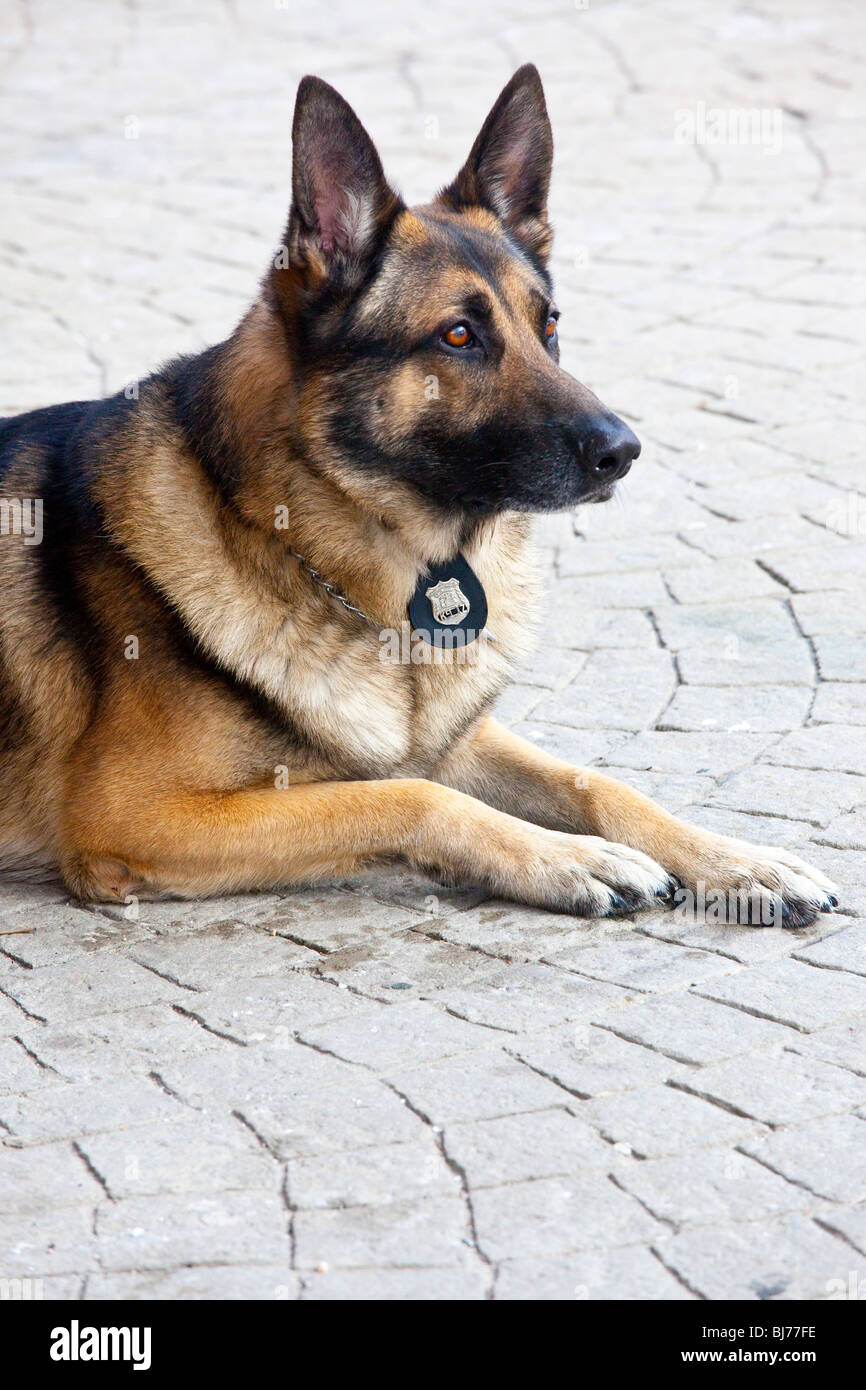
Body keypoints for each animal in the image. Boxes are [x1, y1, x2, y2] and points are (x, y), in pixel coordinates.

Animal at [0, 70, 839, 928]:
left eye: (549, 324)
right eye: (458, 336)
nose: (623, 452)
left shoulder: (458, 741)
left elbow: (599, 784)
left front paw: (737, 860)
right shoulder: (138, 819)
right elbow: (407, 795)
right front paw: (568, 857)